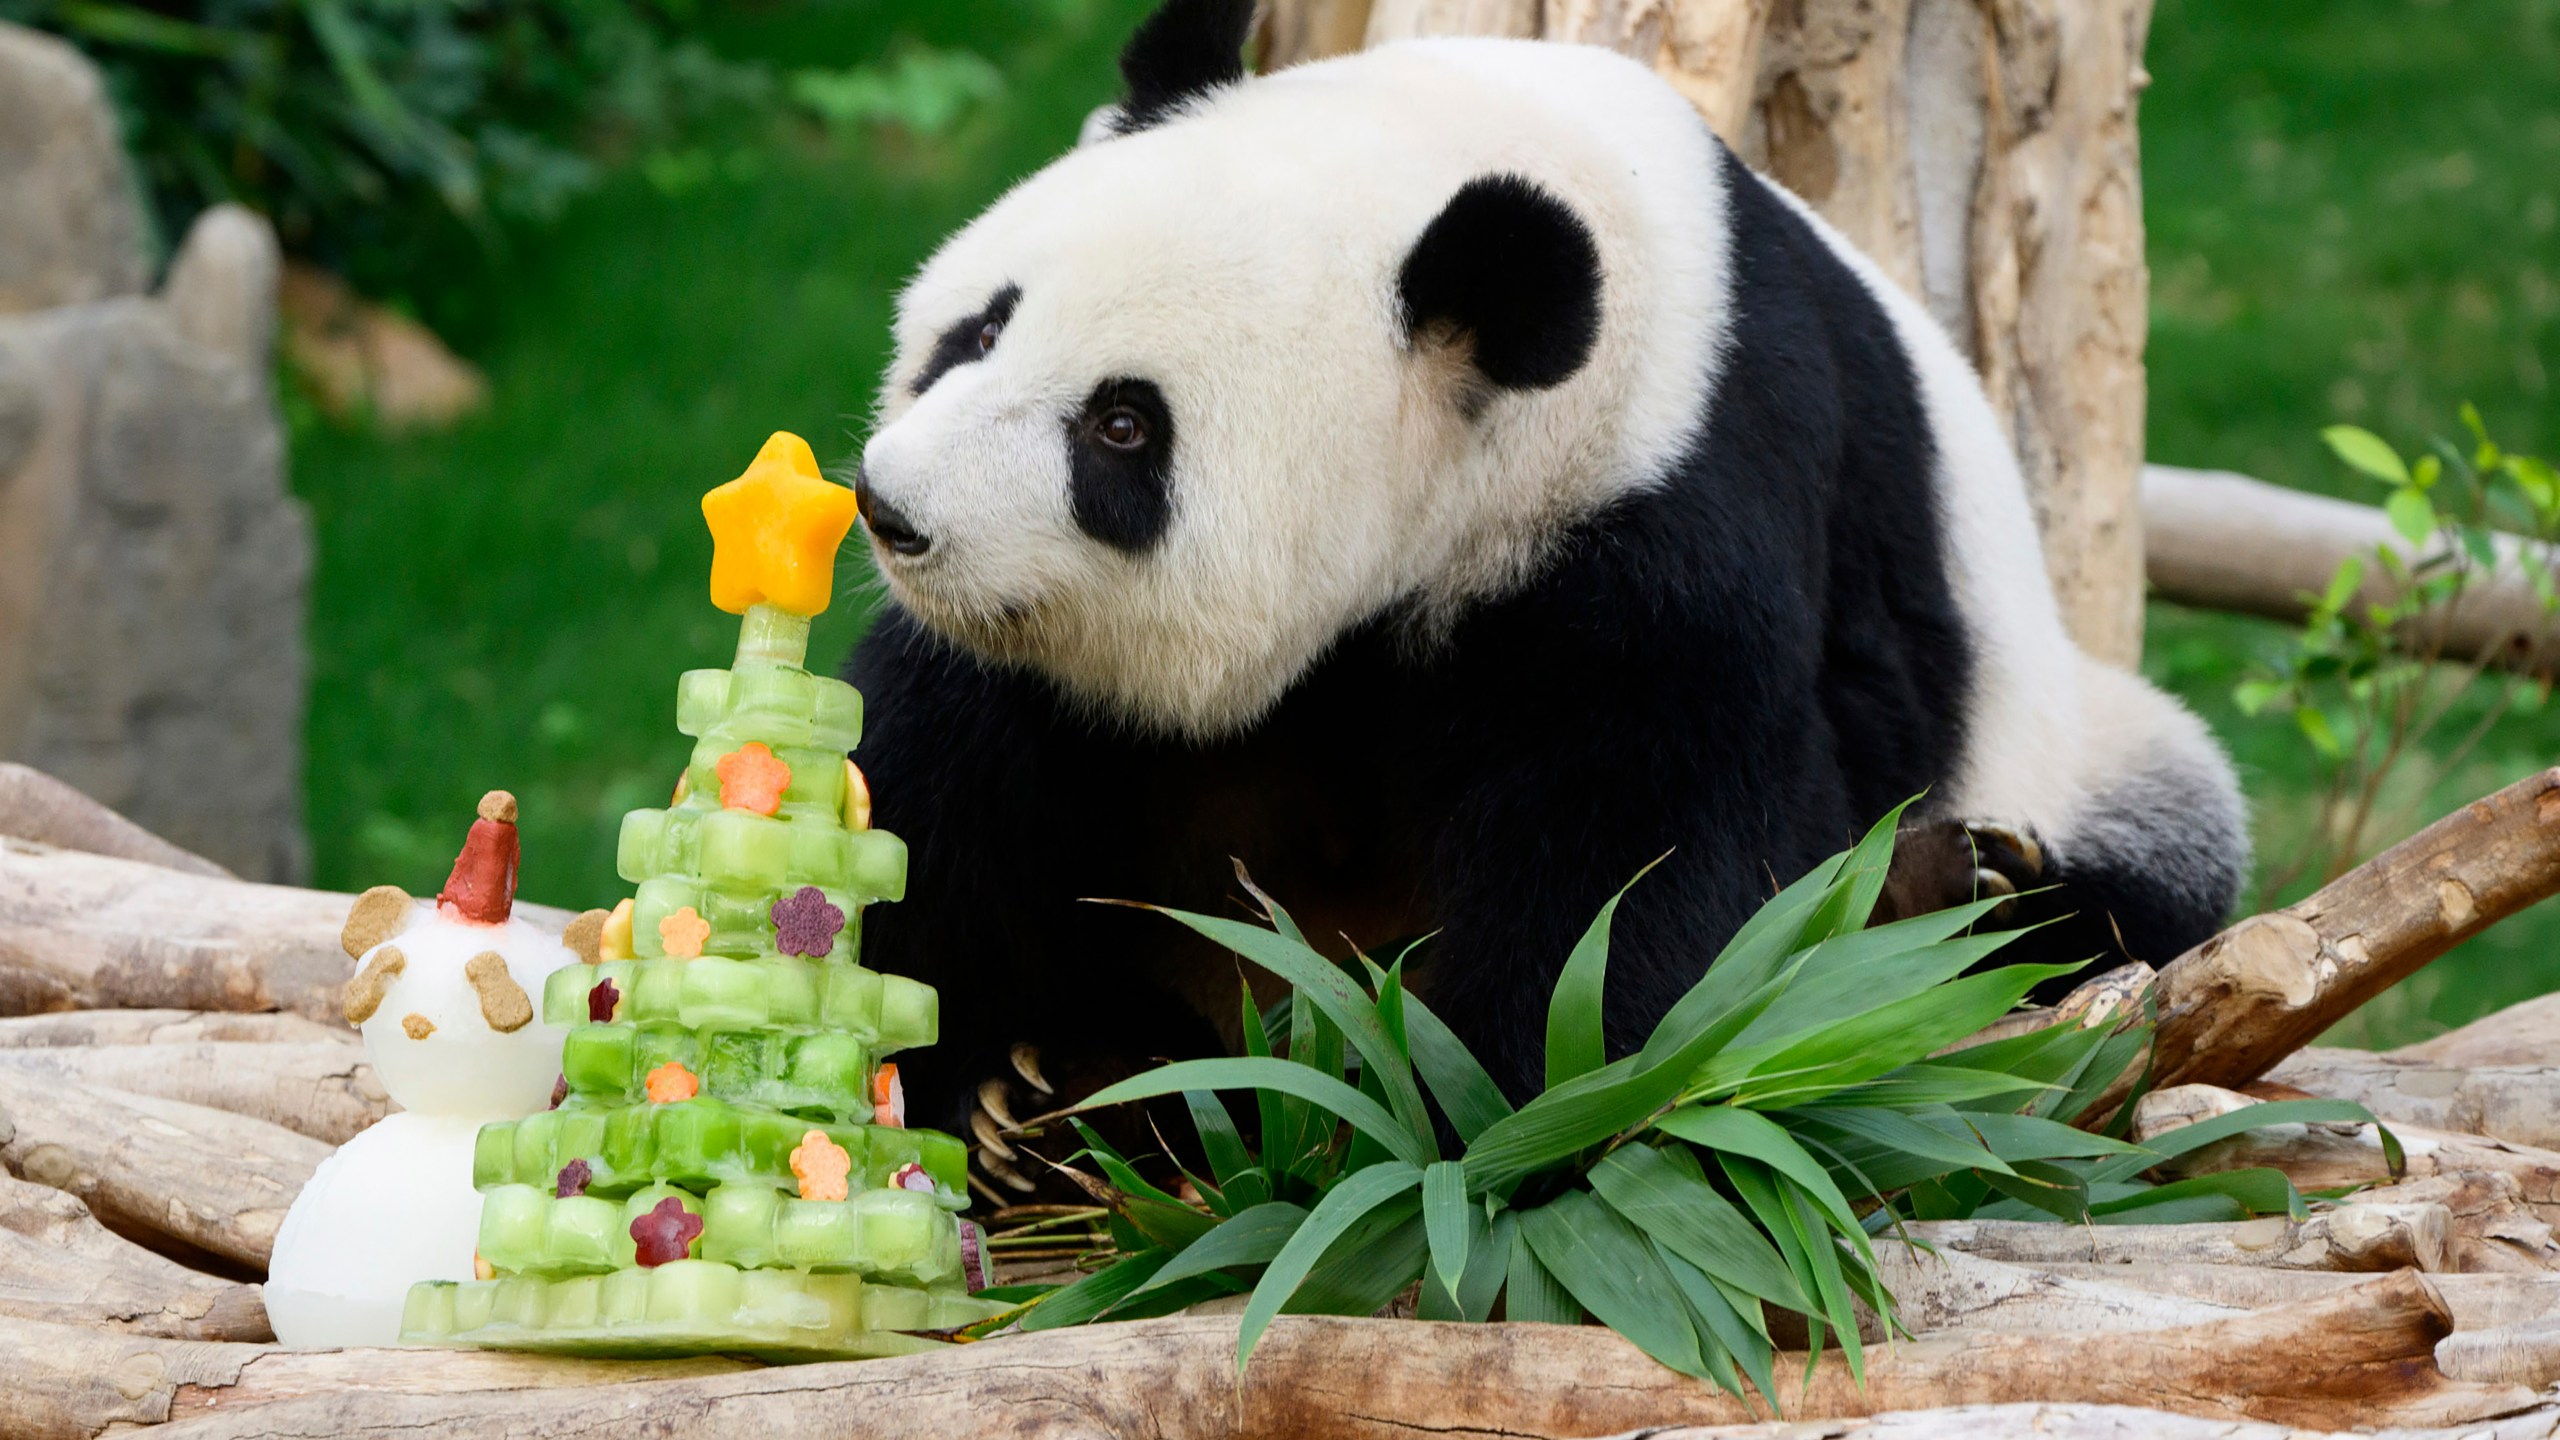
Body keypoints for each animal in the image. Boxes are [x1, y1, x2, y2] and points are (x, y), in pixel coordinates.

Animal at [839, 0, 2242, 1173]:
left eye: (1122, 428)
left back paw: (1970, 890)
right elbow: (942, 778)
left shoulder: (1669, 506)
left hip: (2067, 737)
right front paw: (985, 1070)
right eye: (980, 328)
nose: (893, 510)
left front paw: (1472, 1112)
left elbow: (1641, 873)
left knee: (2144, 874)